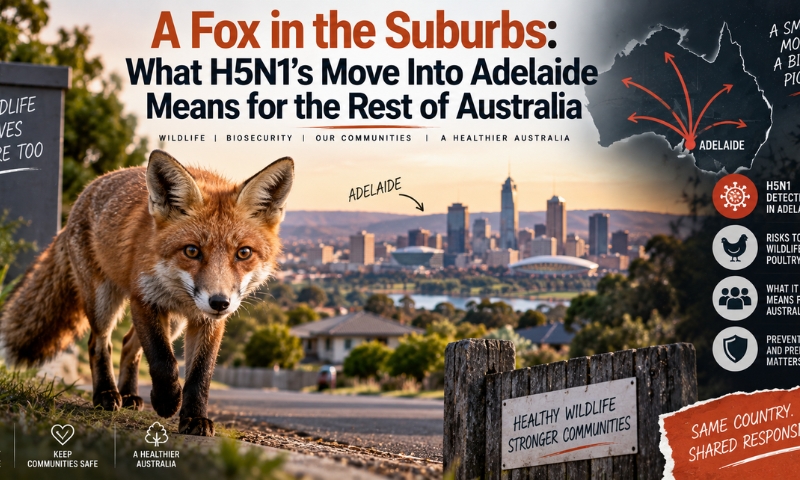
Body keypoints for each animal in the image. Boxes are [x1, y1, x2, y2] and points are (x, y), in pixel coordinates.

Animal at [0, 149, 293, 436]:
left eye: (243, 253)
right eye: (192, 251)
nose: (219, 302)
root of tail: (85, 193)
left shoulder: (207, 321)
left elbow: (200, 374)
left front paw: (195, 418)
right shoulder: (144, 299)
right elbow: (163, 361)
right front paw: (166, 401)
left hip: (173, 323)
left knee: (128, 344)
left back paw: (129, 395)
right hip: (103, 300)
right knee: (100, 343)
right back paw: (106, 394)